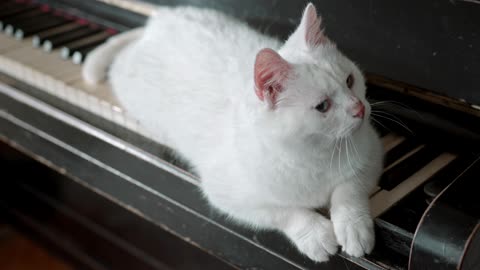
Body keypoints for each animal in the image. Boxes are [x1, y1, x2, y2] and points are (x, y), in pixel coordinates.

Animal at [82, 2, 382, 264]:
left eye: (350, 80)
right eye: (322, 106)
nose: (359, 108)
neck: (314, 153)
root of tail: (158, 19)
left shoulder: (372, 154)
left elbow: (349, 189)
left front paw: (353, 227)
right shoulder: (228, 196)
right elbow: (284, 211)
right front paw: (316, 234)